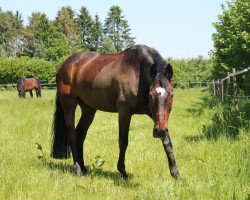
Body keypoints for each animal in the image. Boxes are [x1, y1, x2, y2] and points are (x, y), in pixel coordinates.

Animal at [51, 44, 180, 179]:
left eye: (171, 95)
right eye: (150, 95)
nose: (159, 131)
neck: (138, 72)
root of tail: (65, 64)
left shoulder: (154, 115)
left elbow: (167, 140)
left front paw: (176, 173)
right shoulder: (124, 112)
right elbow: (123, 141)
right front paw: (122, 172)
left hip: (88, 109)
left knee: (80, 135)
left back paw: (83, 168)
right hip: (69, 104)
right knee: (73, 135)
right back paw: (77, 170)